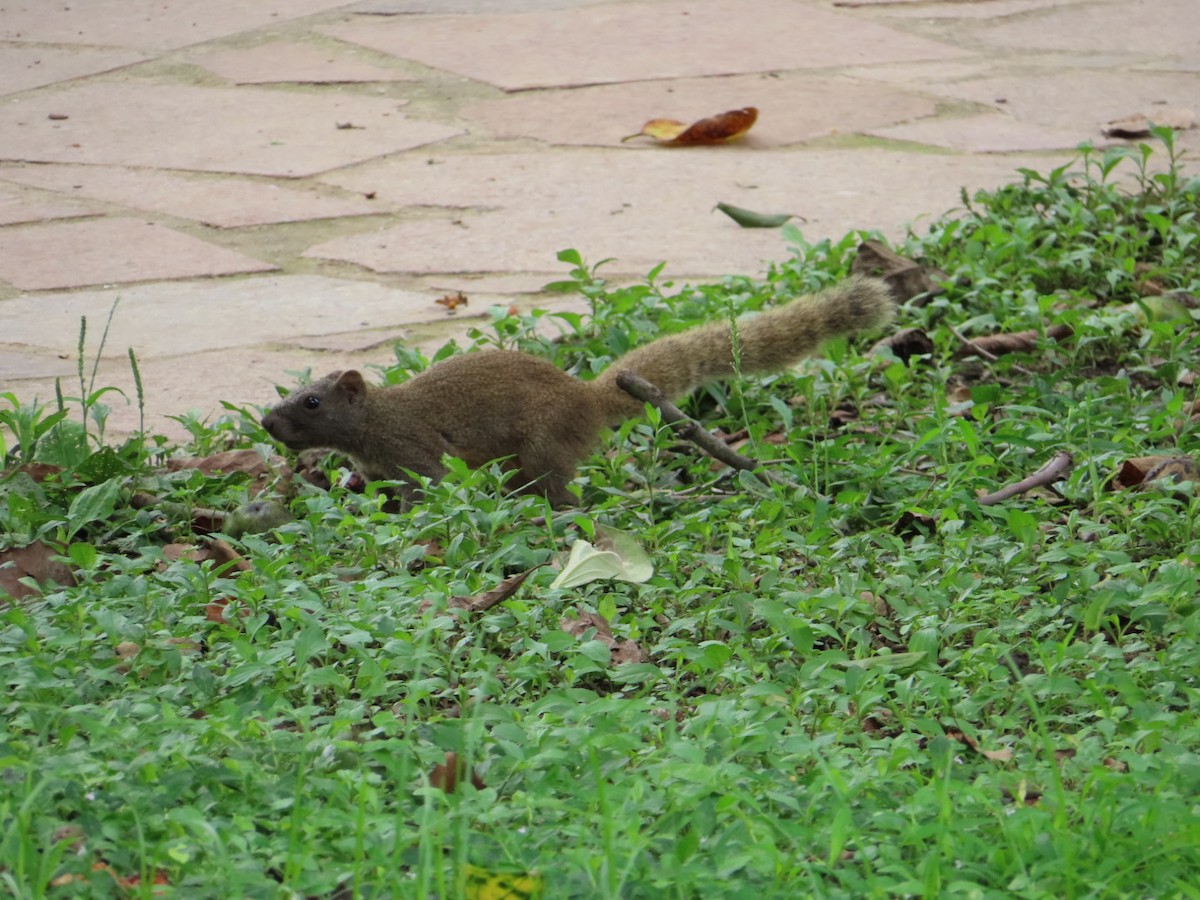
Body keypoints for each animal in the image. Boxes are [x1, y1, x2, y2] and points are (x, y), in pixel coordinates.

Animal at [261, 276, 894, 506]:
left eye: (312, 402)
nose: (266, 424)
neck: (373, 426)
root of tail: (585, 398)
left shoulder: (414, 452)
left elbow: (432, 489)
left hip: (543, 446)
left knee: (562, 490)